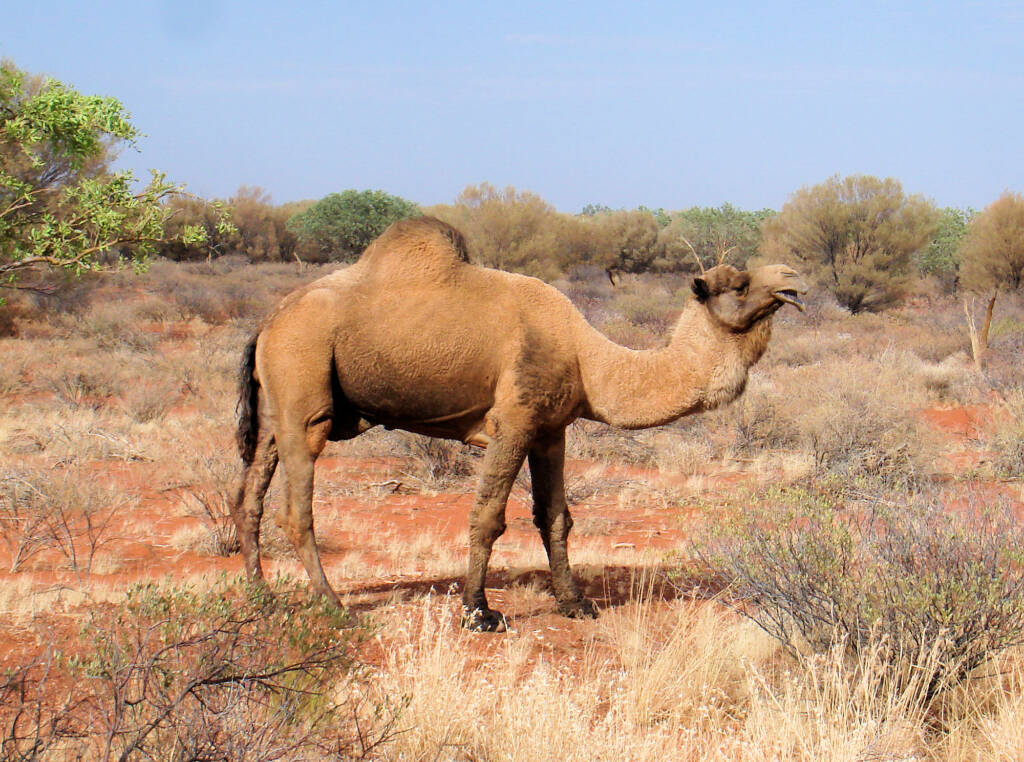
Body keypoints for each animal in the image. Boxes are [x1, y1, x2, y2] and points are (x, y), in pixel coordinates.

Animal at [232, 216, 808, 631]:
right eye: (738, 284)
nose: (793, 278)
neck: (587, 357)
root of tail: (268, 321)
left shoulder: (551, 428)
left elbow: (556, 516)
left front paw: (575, 603)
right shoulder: (514, 418)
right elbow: (488, 515)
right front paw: (478, 611)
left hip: (277, 406)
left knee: (249, 494)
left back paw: (260, 593)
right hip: (304, 382)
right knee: (297, 508)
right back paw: (332, 605)